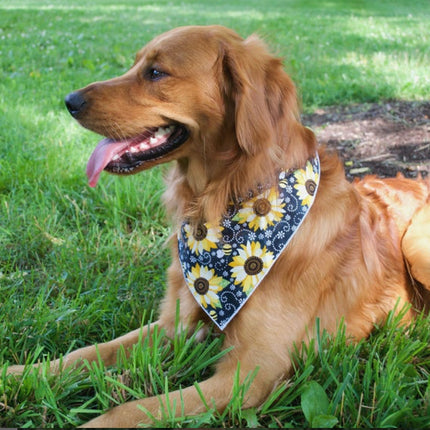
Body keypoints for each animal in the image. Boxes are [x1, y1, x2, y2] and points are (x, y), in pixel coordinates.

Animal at [6, 26, 430, 426]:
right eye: (135, 64)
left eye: (156, 72)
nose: (69, 101)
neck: (225, 205)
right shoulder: (173, 325)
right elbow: (87, 352)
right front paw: (22, 374)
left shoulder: (250, 374)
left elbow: (131, 410)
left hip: (416, 244)